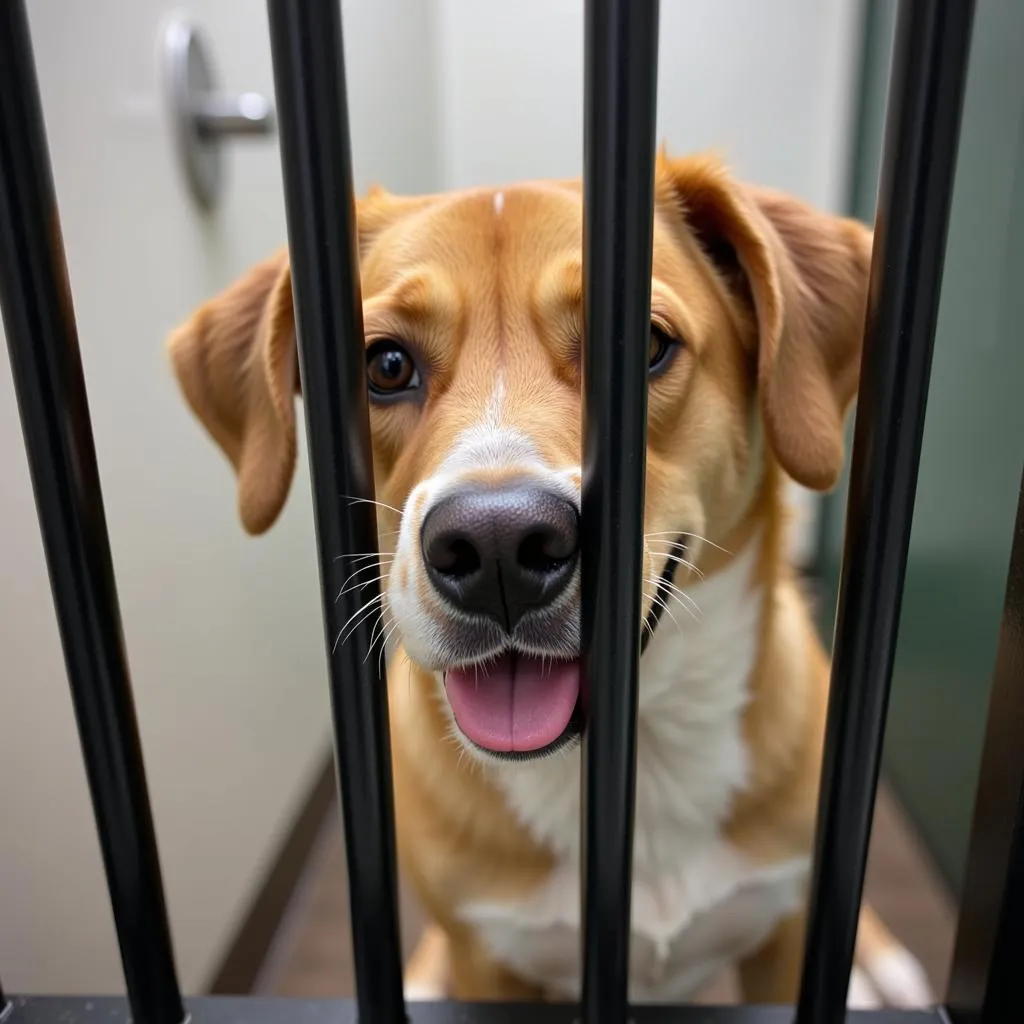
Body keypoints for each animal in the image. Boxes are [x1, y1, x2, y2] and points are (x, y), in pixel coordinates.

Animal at [167, 151, 937, 1007]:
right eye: (386, 365)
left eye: (644, 343)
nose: (498, 546)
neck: (641, 760)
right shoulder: (488, 959)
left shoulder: (785, 935)